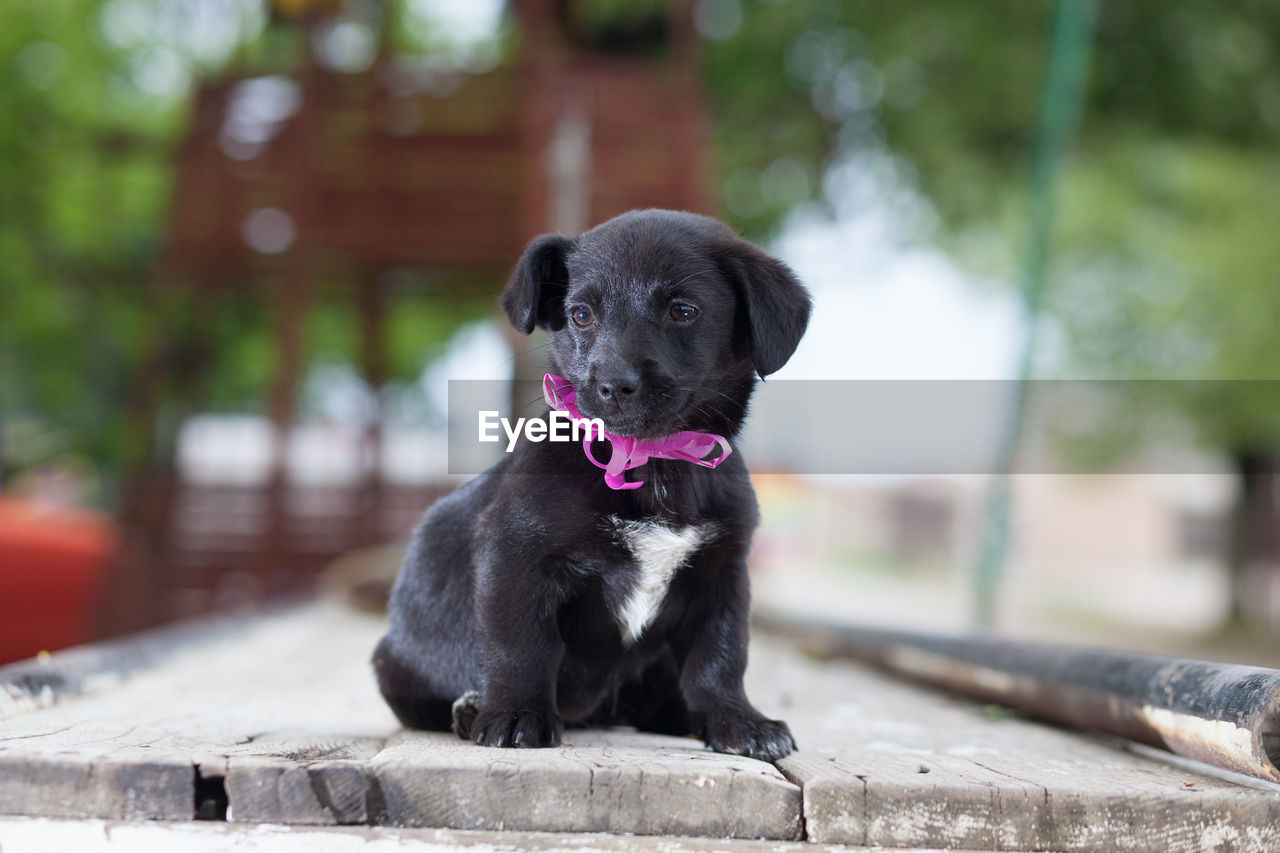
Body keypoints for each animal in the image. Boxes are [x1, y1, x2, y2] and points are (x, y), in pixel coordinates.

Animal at [371, 208, 808, 758]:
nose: (613, 386)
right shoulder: (514, 555)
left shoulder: (721, 574)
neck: (651, 465)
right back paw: (470, 708)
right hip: (392, 663)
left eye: (683, 311)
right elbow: (521, 644)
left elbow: (722, 656)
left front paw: (737, 721)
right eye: (581, 315)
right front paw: (517, 714)